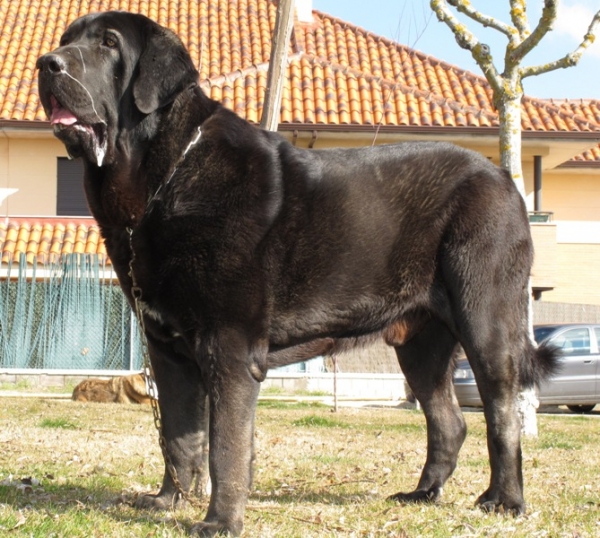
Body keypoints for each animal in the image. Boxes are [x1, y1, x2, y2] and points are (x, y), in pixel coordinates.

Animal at [36, 10, 556, 532]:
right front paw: (169, 501)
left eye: (108, 43)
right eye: (66, 39)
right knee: (450, 421)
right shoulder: (167, 350)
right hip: (420, 343)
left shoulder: (228, 345)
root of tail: (503, 178)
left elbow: (226, 446)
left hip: (486, 321)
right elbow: (179, 438)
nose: (47, 63)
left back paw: (505, 500)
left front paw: (220, 521)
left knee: (502, 414)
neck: (161, 179)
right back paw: (422, 493)